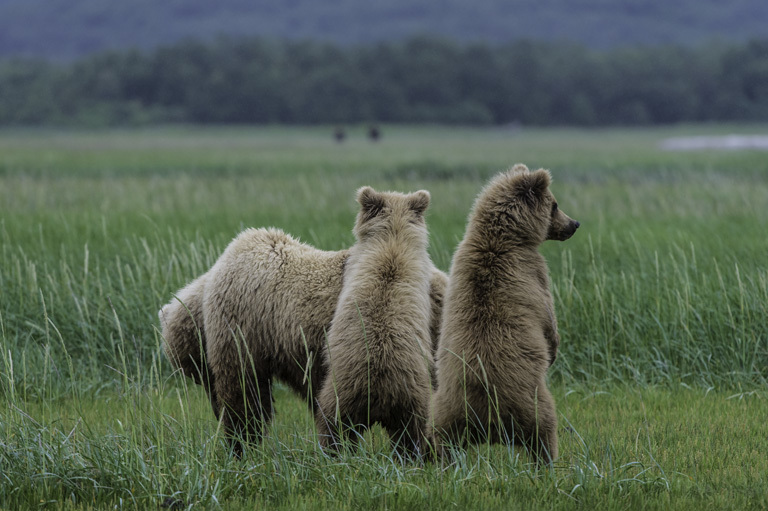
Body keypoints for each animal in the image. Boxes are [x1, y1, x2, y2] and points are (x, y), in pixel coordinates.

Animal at [428, 166, 580, 466]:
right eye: (555, 205)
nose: (574, 224)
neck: (502, 237)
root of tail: (488, 423)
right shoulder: (533, 271)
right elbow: (547, 316)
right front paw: (553, 349)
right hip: (532, 401)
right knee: (545, 431)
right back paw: (548, 462)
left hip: (445, 409)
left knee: (443, 438)